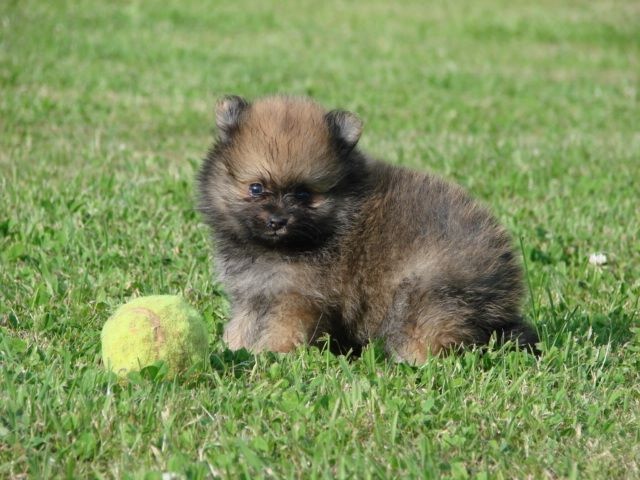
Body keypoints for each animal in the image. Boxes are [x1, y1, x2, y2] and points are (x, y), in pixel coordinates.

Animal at [198, 95, 536, 362]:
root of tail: (500, 289)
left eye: (304, 194)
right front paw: (232, 349)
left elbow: (281, 331)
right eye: (256, 188)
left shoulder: (297, 299)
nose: (277, 221)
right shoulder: (253, 293)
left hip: (424, 290)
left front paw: (269, 356)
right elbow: (242, 325)